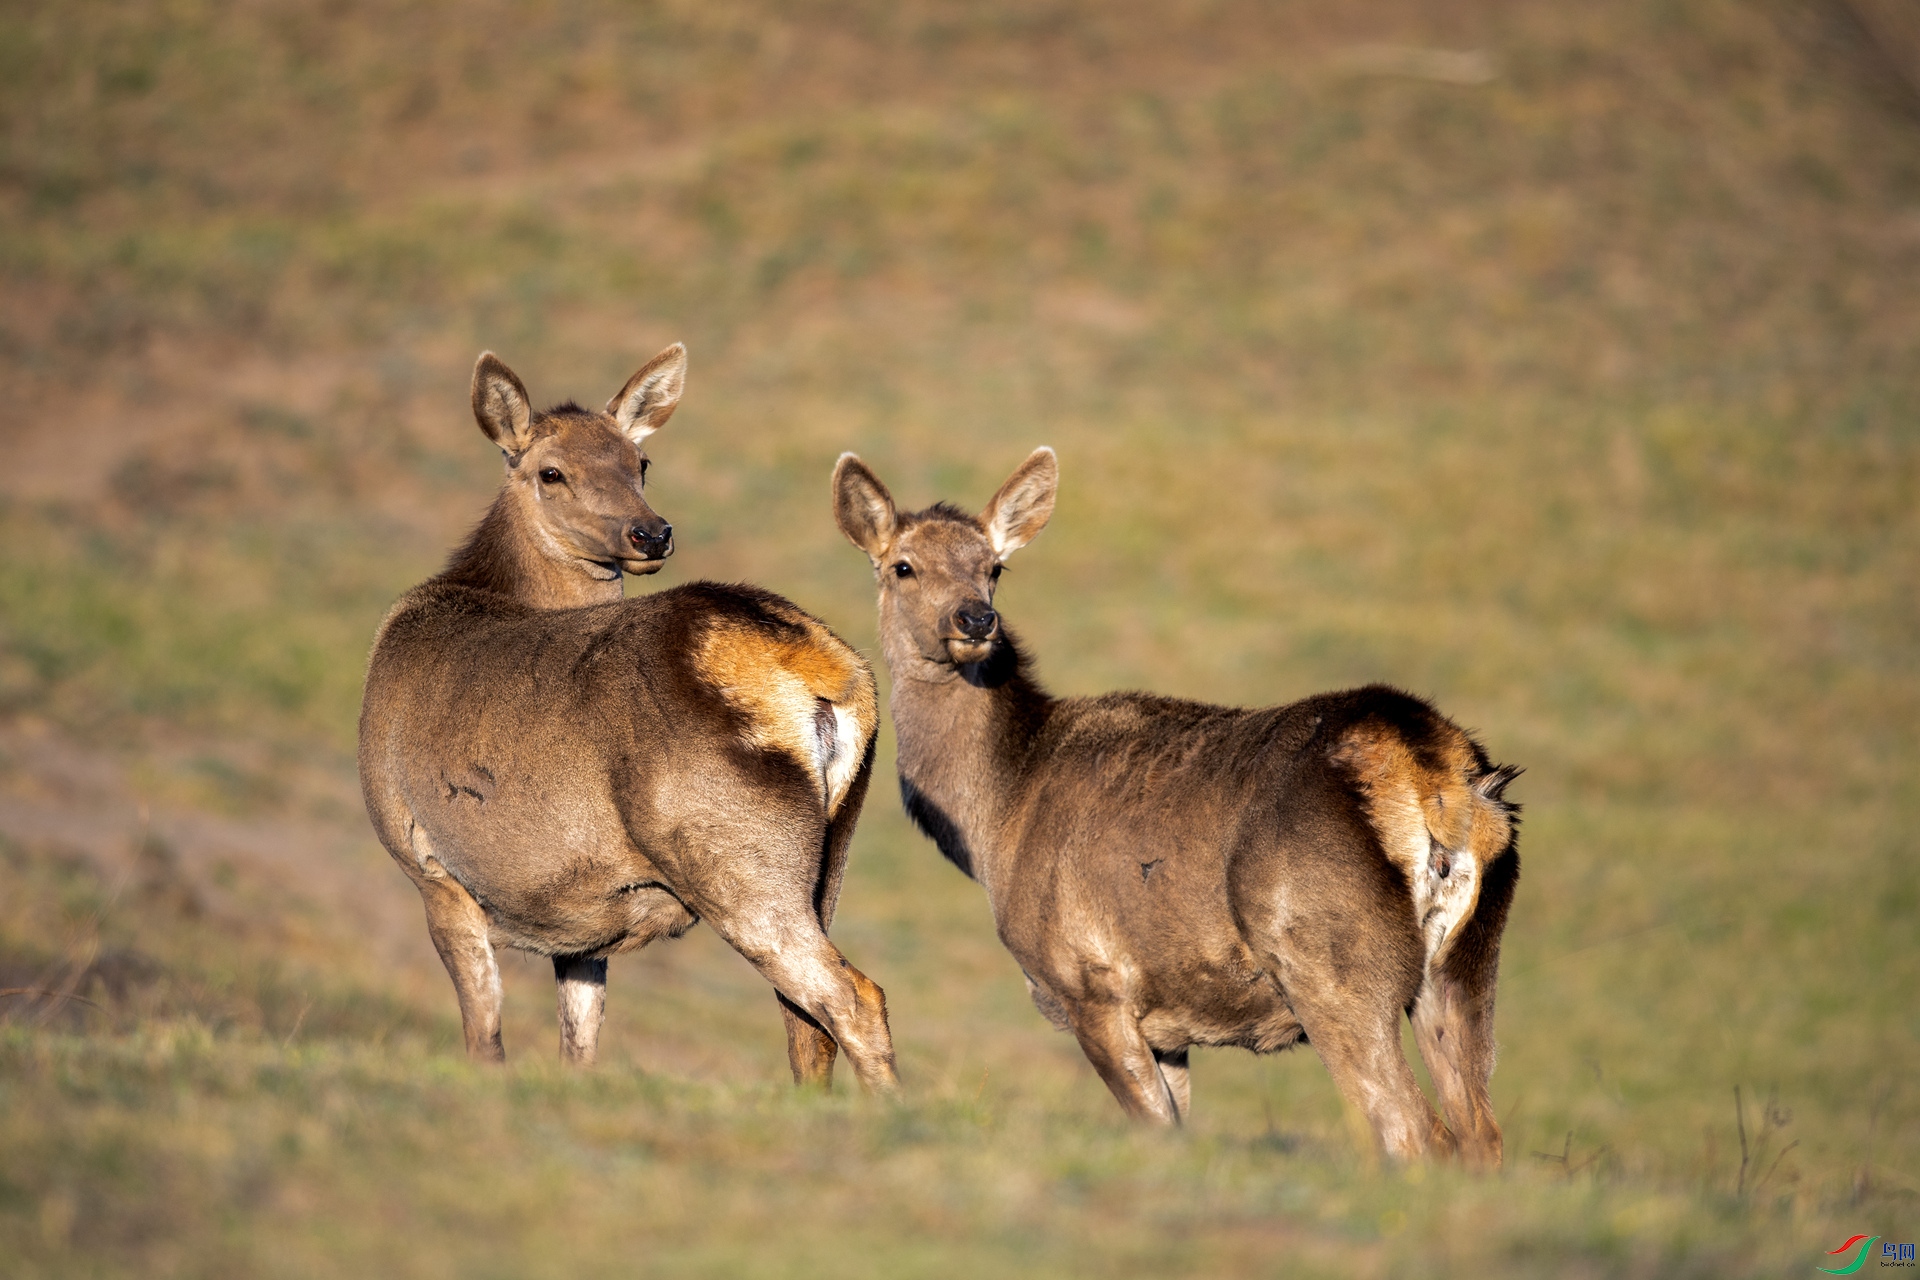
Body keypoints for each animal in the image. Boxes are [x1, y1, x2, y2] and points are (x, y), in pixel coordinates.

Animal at [360, 345, 898, 1097]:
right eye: (550, 471)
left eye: (640, 462)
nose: (651, 532)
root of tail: (827, 674)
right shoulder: (582, 923)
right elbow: (579, 1041)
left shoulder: (429, 864)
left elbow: (484, 1037)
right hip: (832, 857)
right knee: (805, 1020)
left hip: (732, 851)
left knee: (852, 996)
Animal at [833, 450, 1520, 1159]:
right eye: (903, 566)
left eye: (994, 566)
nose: (974, 619)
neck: (997, 815)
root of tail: (1434, 778)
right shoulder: (1167, 1027)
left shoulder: (1091, 983)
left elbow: (1153, 1126)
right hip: (1465, 965)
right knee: (1482, 1132)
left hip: (1327, 959)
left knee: (1412, 1129)